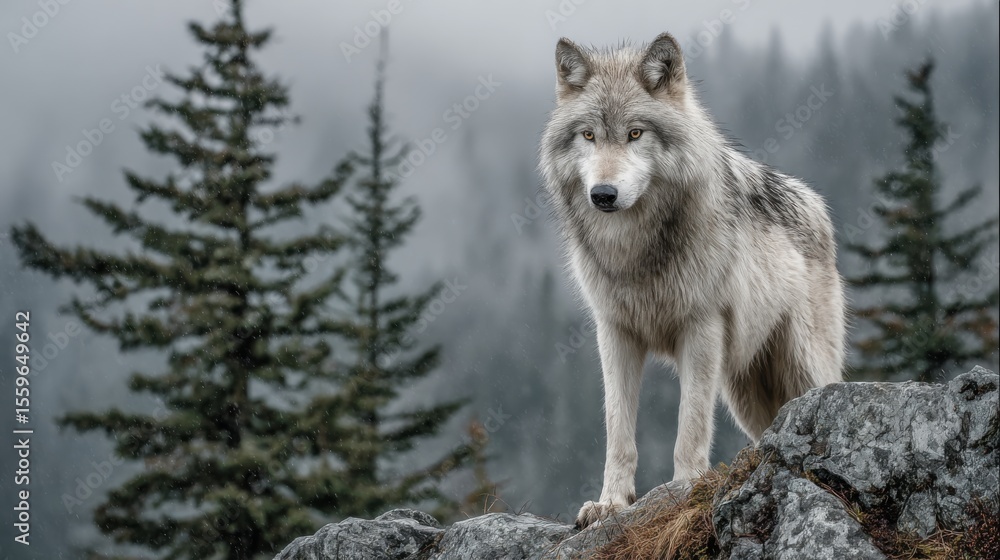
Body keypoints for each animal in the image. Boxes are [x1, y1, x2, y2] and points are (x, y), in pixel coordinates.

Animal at [538, 33, 845, 528]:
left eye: (635, 134)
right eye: (588, 135)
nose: (603, 194)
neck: (636, 250)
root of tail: (818, 204)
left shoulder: (701, 328)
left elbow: (691, 425)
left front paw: (683, 490)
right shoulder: (615, 332)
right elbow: (618, 431)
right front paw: (611, 503)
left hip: (801, 370)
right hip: (746, 393)